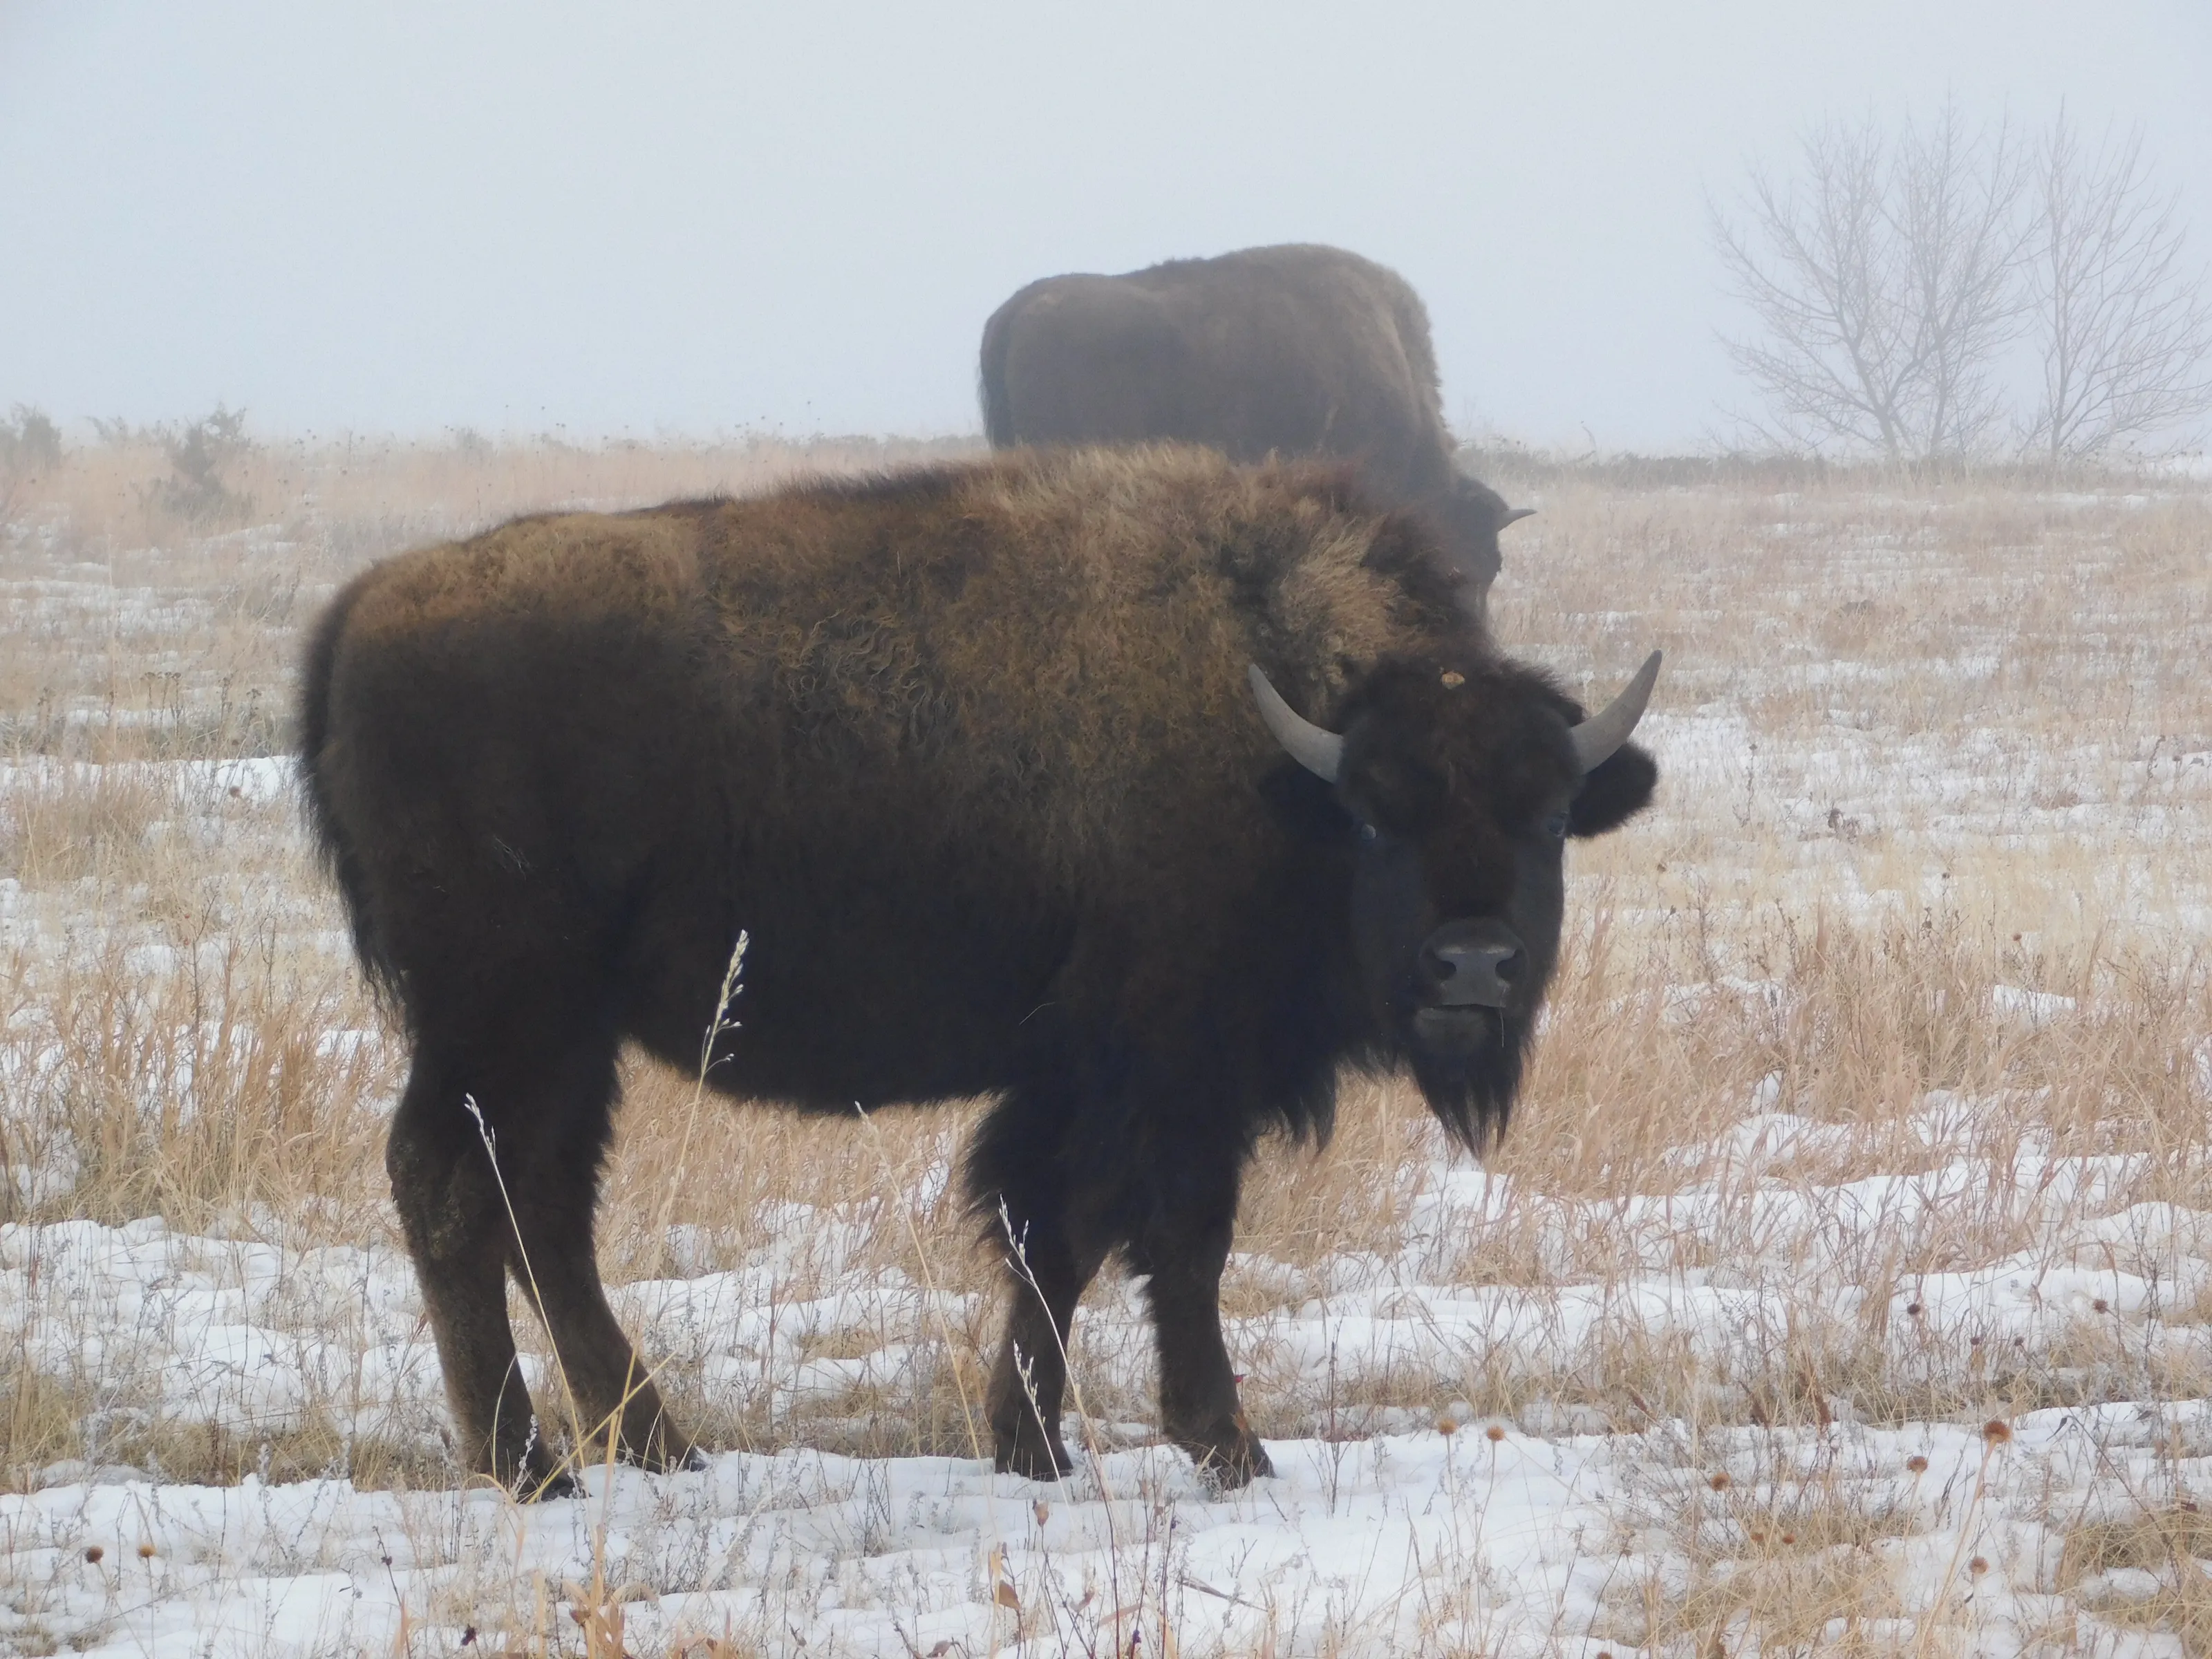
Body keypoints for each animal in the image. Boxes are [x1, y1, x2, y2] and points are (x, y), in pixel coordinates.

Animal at [300, 446, 1658, 1493]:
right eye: (1379, 821)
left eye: (1548, 818)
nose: (1473, 966)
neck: (1287, 753)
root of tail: (365, 607)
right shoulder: (1171, 1072)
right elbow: (1171, 1239)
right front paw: (1225, 1446)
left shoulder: (1080, 1081)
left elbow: (1053, 1238)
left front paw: (1031, 1446)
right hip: (502, 1014)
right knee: (449, 1184)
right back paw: (529, 1466)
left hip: (567, 1036)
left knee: (539, 1202)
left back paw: (656, 1446)